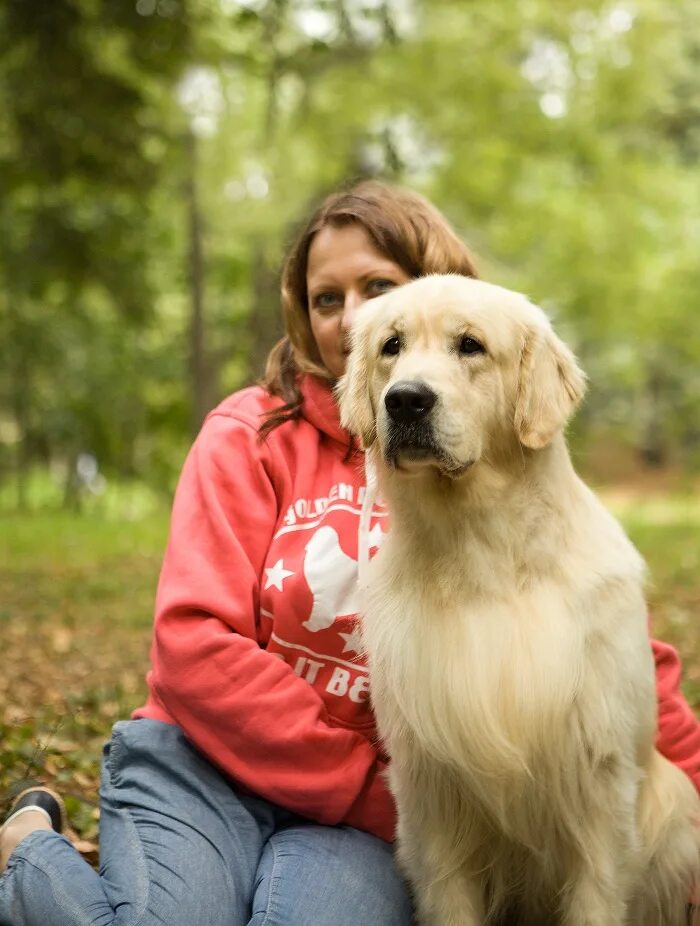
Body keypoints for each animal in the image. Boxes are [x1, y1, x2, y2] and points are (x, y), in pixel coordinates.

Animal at [336, 276, 696, 926]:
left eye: (470, 345)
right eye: (391, 346)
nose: (405, 401)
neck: (484, 555)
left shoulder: (600, 790)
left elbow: (595, 898)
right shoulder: (432, 800)